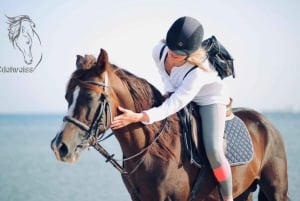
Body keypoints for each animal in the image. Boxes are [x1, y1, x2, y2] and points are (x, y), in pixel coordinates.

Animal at [51, 49, 288, 200]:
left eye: (89, 97)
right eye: (67, 97)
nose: (60, 147)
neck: (152, 149)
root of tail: (265, 123)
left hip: (276, 191)